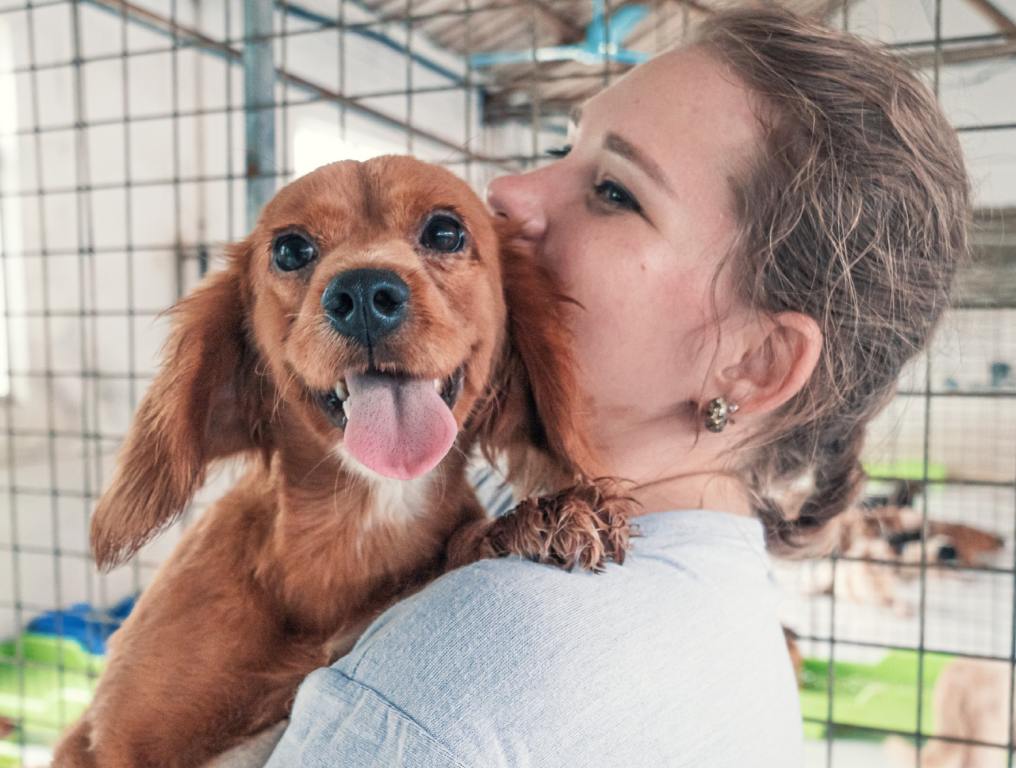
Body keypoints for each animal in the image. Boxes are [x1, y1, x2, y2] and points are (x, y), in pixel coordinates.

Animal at [53, 157, 633, 768]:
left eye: (444, 231)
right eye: (290, 249)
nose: (363, 292)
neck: (356, 520)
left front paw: (544, 518)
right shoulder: (102, 741)